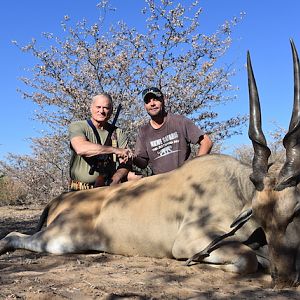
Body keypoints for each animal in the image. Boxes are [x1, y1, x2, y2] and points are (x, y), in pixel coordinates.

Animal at [0, 39, 300, 288]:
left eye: (295, 212)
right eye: (261, 215)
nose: (284, 279)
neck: (235, 191)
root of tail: (61, 199)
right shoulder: (190, 242)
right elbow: (247, 259)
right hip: (60, 240)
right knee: (14, 235)